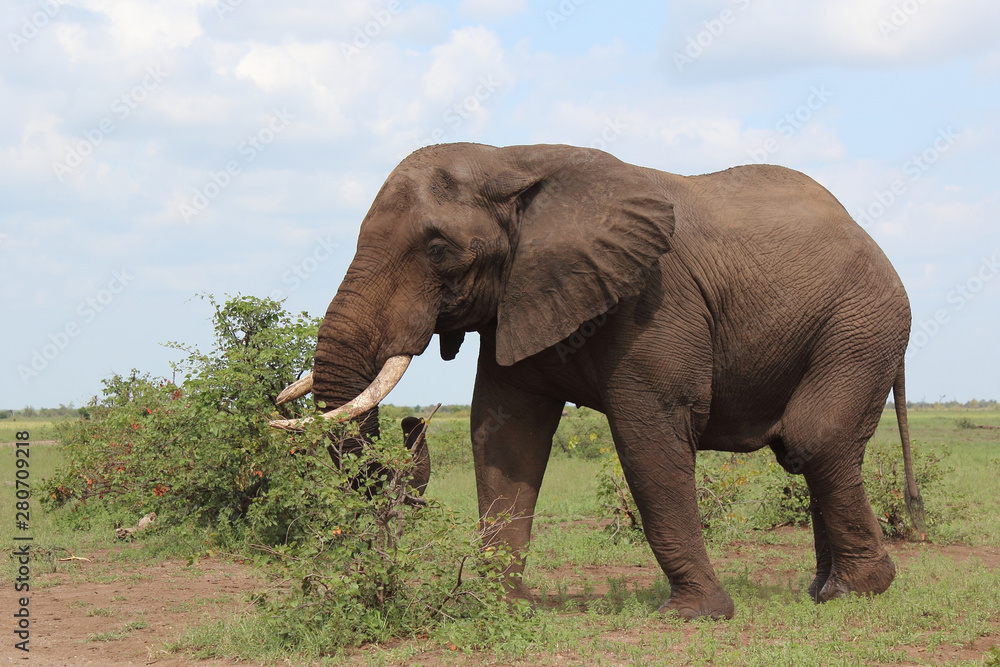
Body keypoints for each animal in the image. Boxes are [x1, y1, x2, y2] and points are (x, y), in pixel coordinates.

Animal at [270, 142, 925, 620]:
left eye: (438, 250)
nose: (411, 424)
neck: (512, 160)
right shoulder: (523, 295)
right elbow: (505, 438)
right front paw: (498, 608)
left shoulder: (653, 300)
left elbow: (648, 437)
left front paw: (691, 616)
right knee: (802, 449)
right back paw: (824, 592)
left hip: (863, 324)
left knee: (815, 438)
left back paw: (859, 590)